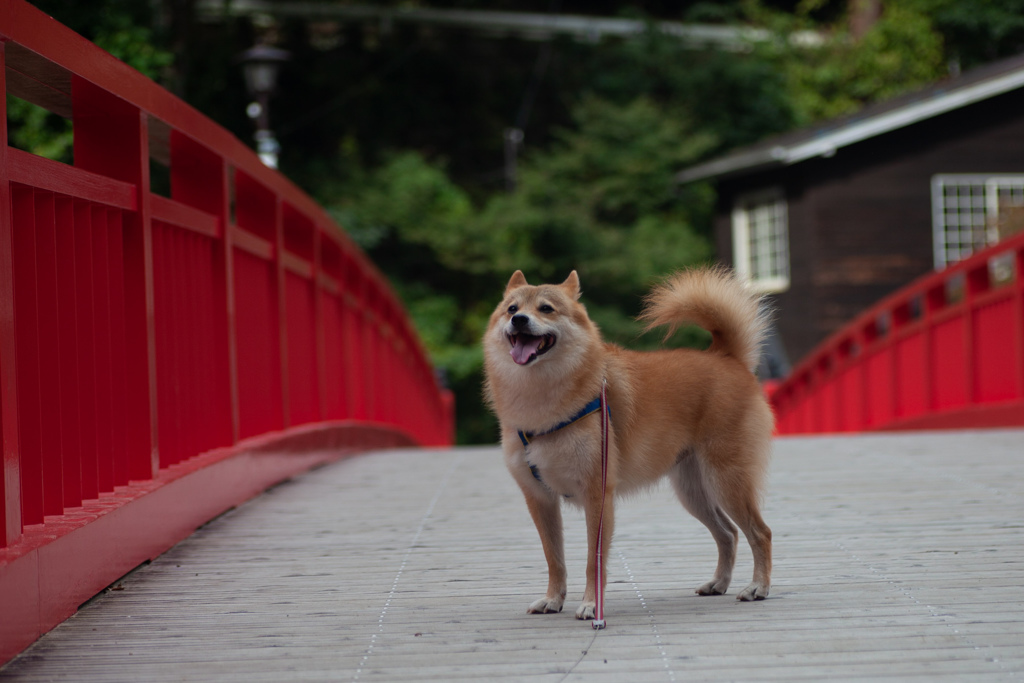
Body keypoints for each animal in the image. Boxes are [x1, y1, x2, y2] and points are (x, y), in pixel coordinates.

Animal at [483, 266, 770, 618]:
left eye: (546, 308)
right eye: (512, 308)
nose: (519, 319)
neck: (541, 401)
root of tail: (726, 357)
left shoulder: (597, 494)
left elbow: (594, 561)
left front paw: (591, 604)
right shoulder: (540, 498)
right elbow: (554, 559)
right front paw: (553, 599)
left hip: (727, 481)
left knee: (760, 532)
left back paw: (758, 587)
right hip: (694, 492)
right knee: (728, 533)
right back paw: (718, 583)